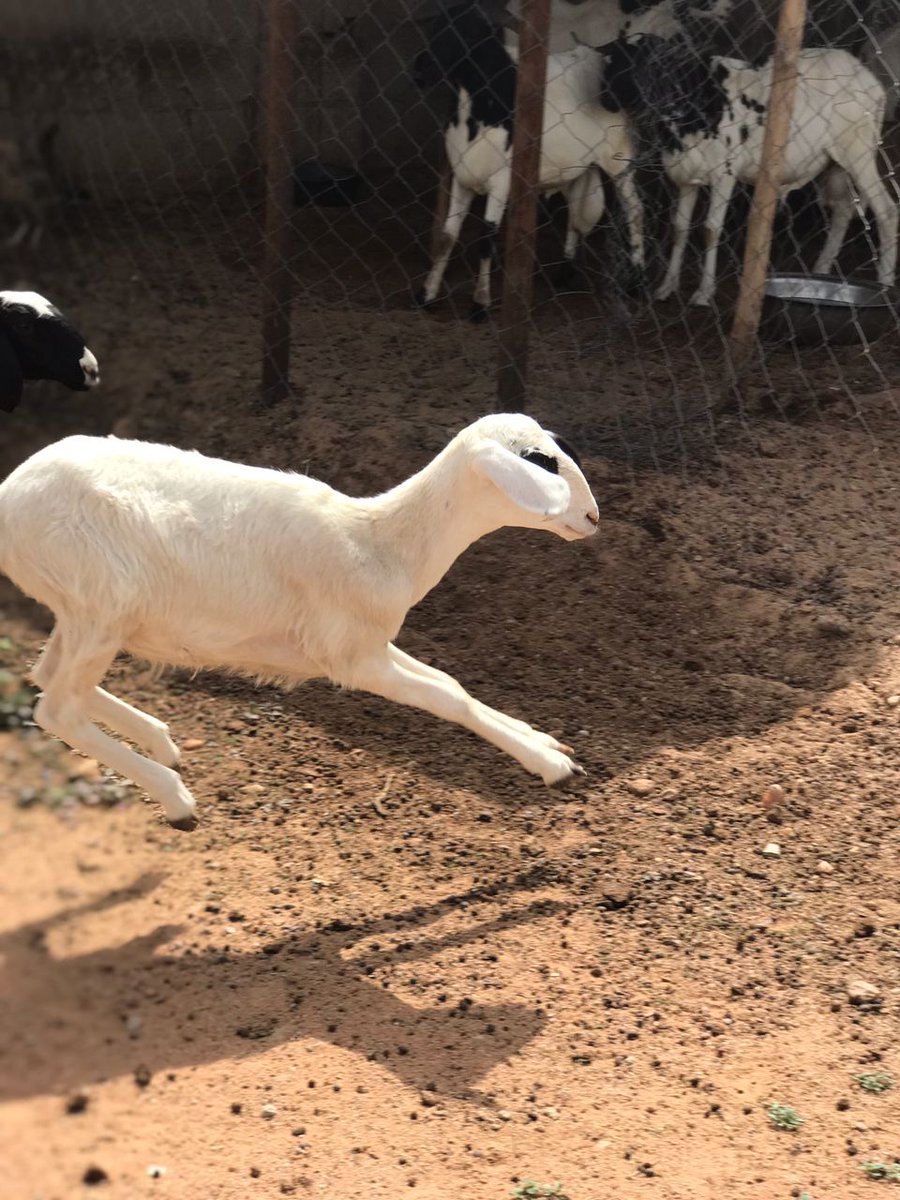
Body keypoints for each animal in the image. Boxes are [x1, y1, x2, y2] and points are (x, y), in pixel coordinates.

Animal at [0, 414, 599, 830]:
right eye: (542, 461)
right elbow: (447, 699)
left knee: (47, 676)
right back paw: (174, 797)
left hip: (83, 608)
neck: (381, 543)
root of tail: (9, 495)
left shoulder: (371, 641)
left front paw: (542, 739)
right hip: (100, 598)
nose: (593, 517)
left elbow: (452, 683)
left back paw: (159, 739)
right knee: (56, 707)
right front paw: (548, 764)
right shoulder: (350, 657)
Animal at [414, 2, 645, 319]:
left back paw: (636, 282)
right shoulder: (463, 177)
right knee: (575, 212)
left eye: (471, 34)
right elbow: (446, 238)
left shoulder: (501, 181)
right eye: (437, 28)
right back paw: (566, 272)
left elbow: (486, 240)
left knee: (634, 210)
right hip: (576, 166)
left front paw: (480, 304)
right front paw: (426, 295)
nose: (420, 71)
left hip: (618, 158)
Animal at [596, 34, 899, 306]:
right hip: (833, 161)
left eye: (644, 64)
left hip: (858, 149)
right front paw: (666, 287)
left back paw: (884, 285)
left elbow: (710, 230)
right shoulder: (686, 178)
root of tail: (869, 80)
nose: (606, 100)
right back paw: (821, 272)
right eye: (613, 61)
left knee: (886, 211)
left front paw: (703, 293)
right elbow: (680, 228)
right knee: (843, 209)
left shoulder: (724, 174)